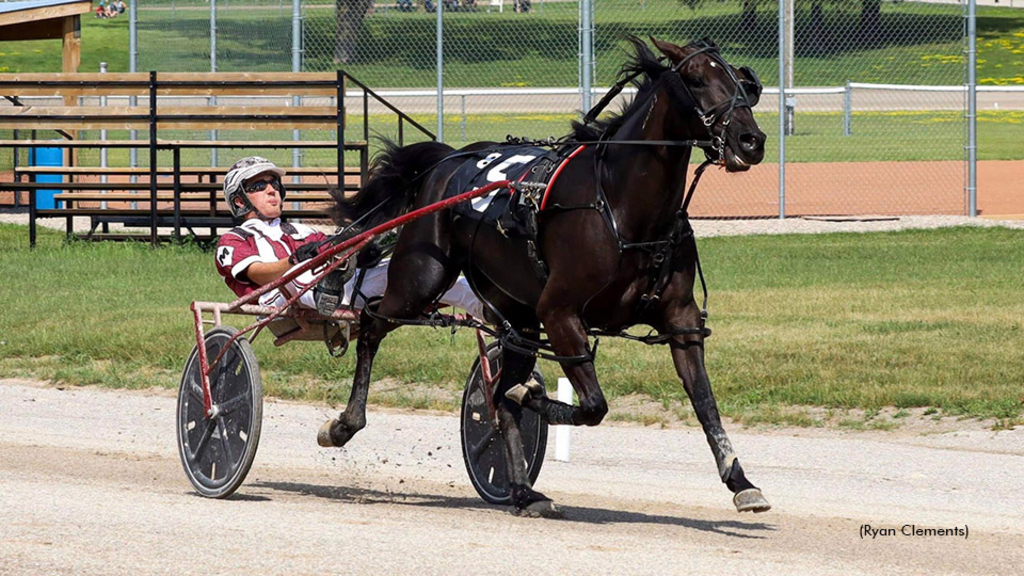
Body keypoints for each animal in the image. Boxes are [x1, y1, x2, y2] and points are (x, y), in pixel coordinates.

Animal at [319, 36, 770, 516]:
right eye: (697, 79)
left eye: (743, 82)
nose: (752, 140)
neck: (620, 206)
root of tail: (448, 160)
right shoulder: (560, 313)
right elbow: (591, 405)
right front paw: (530, 395)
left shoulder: (680, 319)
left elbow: (704, 402)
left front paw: (740, 481)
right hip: (421, 278)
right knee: (371, 323)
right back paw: (344, 424)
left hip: (515, 314)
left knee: (498, 391)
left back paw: (522, 490)